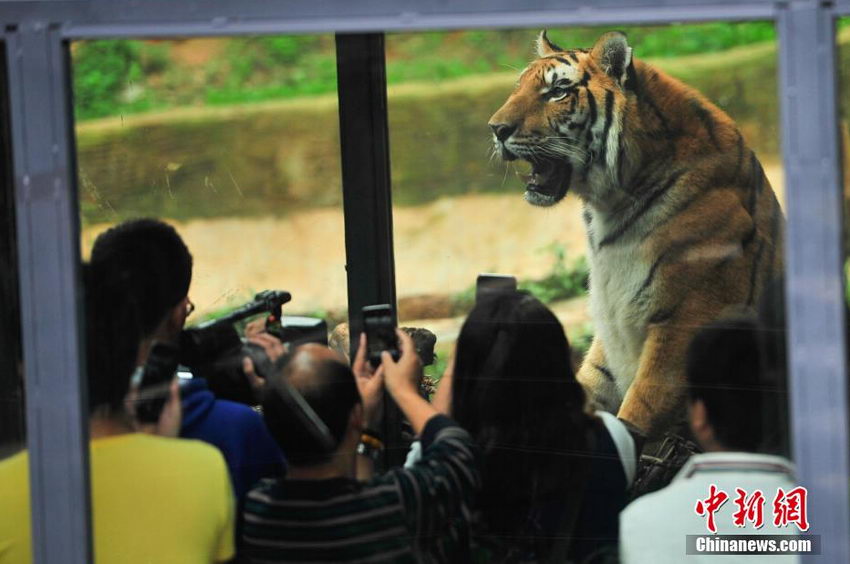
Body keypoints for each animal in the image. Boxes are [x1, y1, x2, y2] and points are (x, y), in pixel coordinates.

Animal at [486, 28, 784, 438]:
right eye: (519, 88)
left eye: (558, 91)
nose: (496, 129)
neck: (608, 209)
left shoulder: (685, 320)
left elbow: (641, 408)